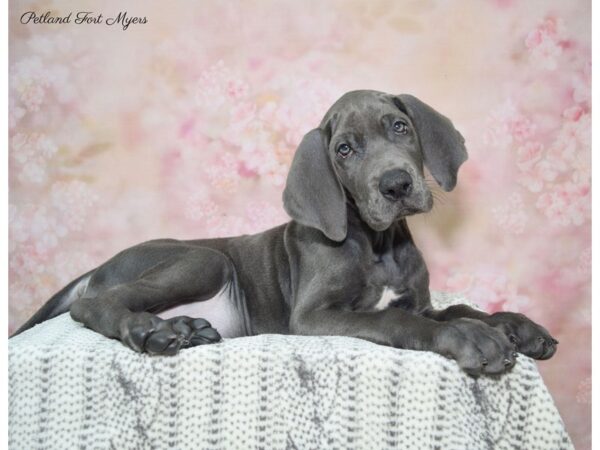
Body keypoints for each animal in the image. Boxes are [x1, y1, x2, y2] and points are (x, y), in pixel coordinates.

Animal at [14, 89, 556, 374]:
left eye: (400, 127)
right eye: (344, 149)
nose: (397, 184)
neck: (377, 244)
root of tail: (95, 268)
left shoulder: (418, 300)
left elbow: (458, 307)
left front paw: (517, 326)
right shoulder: (314, 316)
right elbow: (398, 322)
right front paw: (472, 338)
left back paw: (185, 329)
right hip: (203, 259)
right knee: (94, 305)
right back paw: (150, 331)